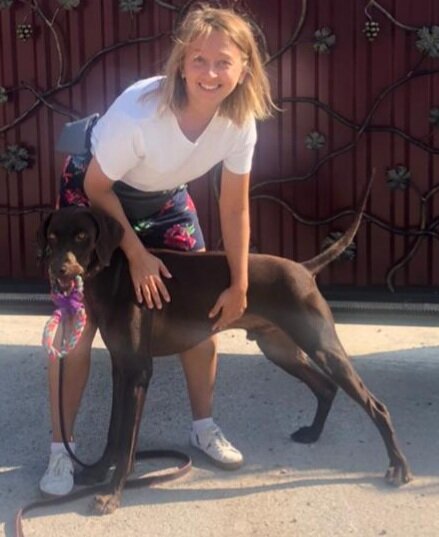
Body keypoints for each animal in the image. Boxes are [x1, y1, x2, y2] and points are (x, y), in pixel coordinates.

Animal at [37, 185, 412, 514]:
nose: (59, 269)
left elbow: (127, 441)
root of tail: (304, 269)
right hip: (279, 348)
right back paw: (313, 433)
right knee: (326, 386)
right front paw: (99, 472)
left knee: (375, 405)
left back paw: (399, 467)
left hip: (321, 346)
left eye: (82, 236)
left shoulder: (139, 371)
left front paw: (112, 495)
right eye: (52, 238)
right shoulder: (121, 366)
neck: (114, 275)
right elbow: (114, 432)